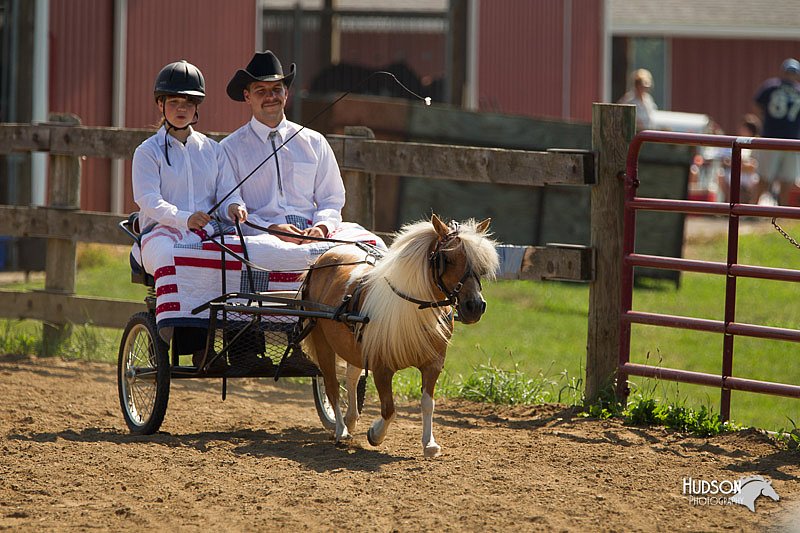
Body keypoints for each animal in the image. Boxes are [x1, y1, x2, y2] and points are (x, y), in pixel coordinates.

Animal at [302, 214, 496, 456]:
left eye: (481, 264)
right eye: (447, 259)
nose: (475, 307)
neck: (413, 310)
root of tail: (325, 257)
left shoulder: (433, 364)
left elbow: (427, 403)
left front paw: (429, 444)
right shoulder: (382, 368)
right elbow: (389, 409)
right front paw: (375, 434)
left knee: (352, 377)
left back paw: (351, 419)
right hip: (322, 341)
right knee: (332, 385)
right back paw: (341, 430)